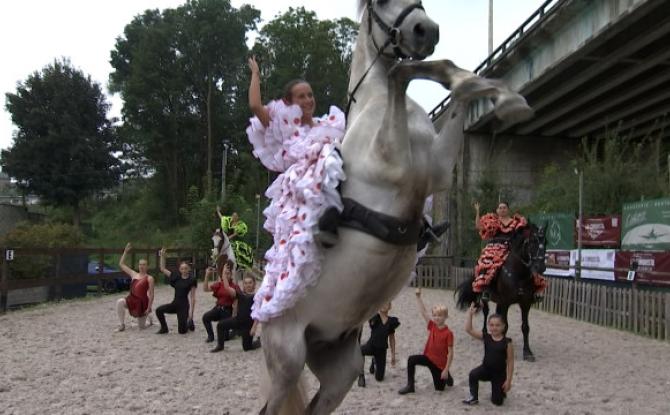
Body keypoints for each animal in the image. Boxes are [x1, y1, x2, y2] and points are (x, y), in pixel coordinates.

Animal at [260, 1, 532, 414]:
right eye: (379, 3)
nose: (425, 30)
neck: (374, 106)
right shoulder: (395, 163)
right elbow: (400, 74)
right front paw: (502, 95)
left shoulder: (437, 168)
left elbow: (446, 82)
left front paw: (504, 98)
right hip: (287, 362)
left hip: (339, 369)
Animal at [454, 223, 548, 362]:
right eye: (531, 242)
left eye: (545, 242)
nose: (540, 267)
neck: (519, 274)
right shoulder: (505, 302)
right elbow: (505, 324)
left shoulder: (525, 304)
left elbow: (525, 327)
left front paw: (527, 352)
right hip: (486, 297)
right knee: (486, 312)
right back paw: (484, 332)